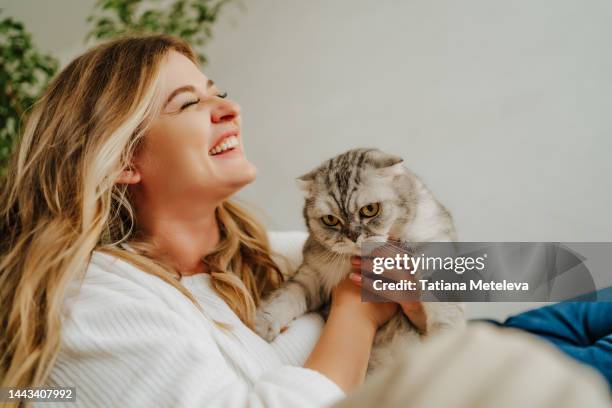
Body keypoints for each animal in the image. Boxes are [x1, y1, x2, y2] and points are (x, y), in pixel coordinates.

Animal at [255, 148, 464, 374]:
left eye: (370, 209)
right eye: (330, 220)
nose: (353, 236)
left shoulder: (436, 246)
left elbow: (445, 305)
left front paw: (445, 339)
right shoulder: (312, 275)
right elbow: (285, 296)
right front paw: (262, 323)